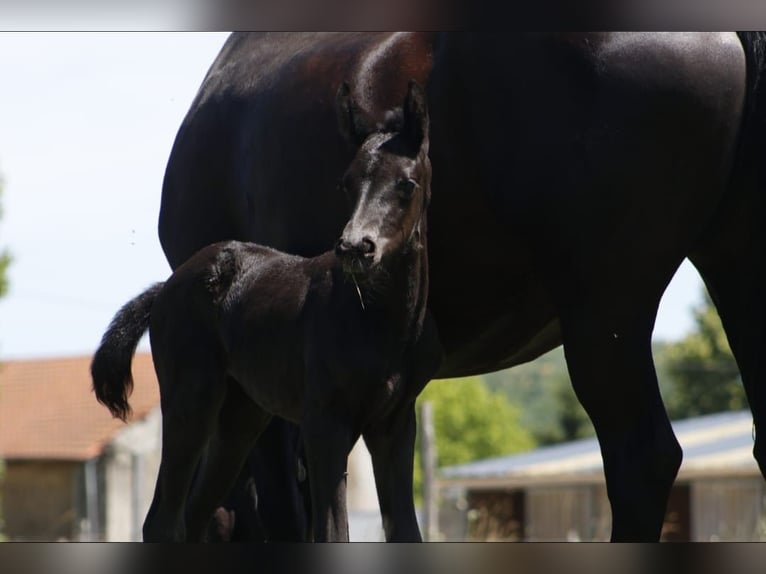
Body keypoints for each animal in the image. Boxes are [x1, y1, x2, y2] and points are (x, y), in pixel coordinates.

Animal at [92, 80, 442, 542]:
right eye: (346, 184)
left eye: (406, 184)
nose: (355, 247)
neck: (376, 321)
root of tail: (165, 289)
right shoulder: (324, 423)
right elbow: (331, 532)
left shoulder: (395, 426)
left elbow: (404, 528)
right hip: (190, 401)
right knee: (163, 520)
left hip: (240, 417)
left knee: (197, 514)